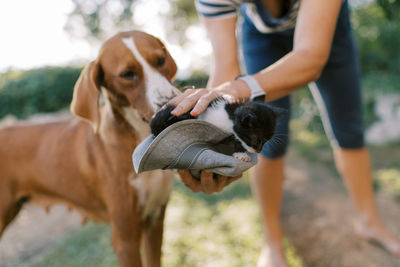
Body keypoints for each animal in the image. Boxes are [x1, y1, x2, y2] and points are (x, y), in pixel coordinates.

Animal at [0, 31, 180, 267]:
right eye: (127, 74)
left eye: (161, 60)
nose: (172, 106)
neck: (139, 138)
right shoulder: (126, 240)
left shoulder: (155, 222)